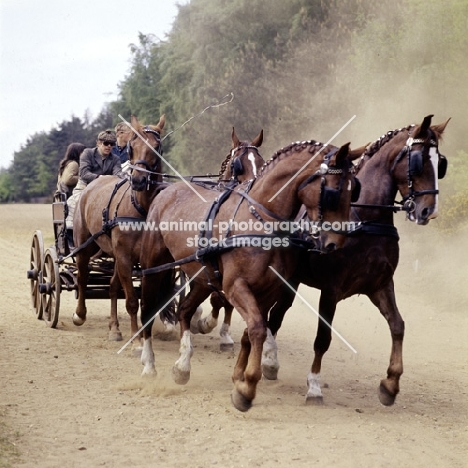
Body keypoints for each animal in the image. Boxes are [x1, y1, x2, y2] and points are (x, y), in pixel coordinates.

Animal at [72, 116, 167, 344]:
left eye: (157, 146)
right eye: (133, 146)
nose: (140, 180)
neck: (142, 207)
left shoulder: (151, 262)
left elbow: (147, 300)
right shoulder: (125, 257)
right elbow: (132, 300)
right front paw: (137, 341)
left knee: (113, 286)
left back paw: (114, 328)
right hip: (84, 246)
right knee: (82, 277)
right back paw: (80, 314)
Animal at [138, 139, 358, 410]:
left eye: (354, 190)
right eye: (333, 192)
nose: (336, 243)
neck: (261, 220)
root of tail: (167, 191)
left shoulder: (268, 290)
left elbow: (252, 330)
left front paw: (238, 378)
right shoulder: (236, 287)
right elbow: (257, 329)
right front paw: (248, 385)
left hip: (203, 277)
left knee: (185, 310)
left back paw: (182, 366)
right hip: (153, 268)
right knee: (147, 311)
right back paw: (148, 363)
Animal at [264, 114, 450, 406]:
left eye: (439, 162)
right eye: (418, 160)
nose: (428, 211)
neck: (365, 220)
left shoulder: (380, 285)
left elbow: (398, 326)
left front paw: (390, 383)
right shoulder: (331, 290)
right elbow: (323, 338)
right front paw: (314, 386)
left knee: (277, 316)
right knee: (275, 317)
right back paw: (268, 359)